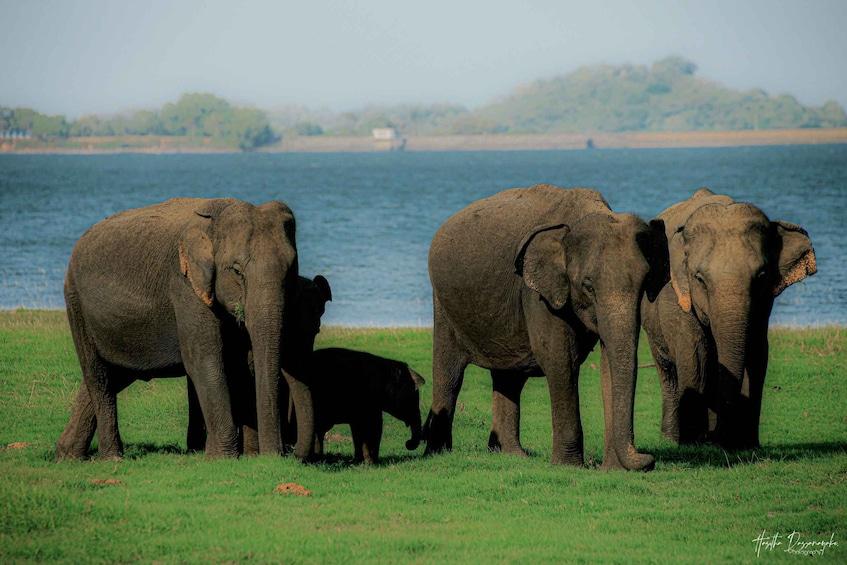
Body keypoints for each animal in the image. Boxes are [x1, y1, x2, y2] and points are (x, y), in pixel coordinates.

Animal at [55, 197, 316, 461]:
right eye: (237, 271)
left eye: (291, 271)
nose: (278, 455)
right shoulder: (184, 283)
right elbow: (204, 359)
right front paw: (221, 458)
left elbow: (241, 364)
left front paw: (238, 456)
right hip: (77, 305)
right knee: (99, 376)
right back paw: (111, 457)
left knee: (114, 375)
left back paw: (67, 455)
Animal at [293, 348, 426, 464]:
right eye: (411, 399)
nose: (408, 443)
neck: (386, 364)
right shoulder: (370, 397)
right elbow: (374, 426)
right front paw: (371, 463)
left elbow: (357, 429)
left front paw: (357, 461)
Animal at [423, 184, 669, 471]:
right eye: (588, 287)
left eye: (645, 284)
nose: (649, 459)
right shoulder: (537, 293)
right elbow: (559, 357)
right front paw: (568, 466)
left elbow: (609, 359)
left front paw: (614, 470)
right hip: (443, 304)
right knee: (449, 374)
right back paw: (437, 454)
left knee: (509, 377)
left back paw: (511, 455)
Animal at [641, 188, 816, 450]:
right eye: (699, 279)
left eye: (762, 275)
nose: (713, 438)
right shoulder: (677, 297)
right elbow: (695, 353)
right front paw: (692, 443)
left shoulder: (763, 304)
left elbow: (756, 353)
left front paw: (745, 444)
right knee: (669, 374)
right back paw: (673, 439)